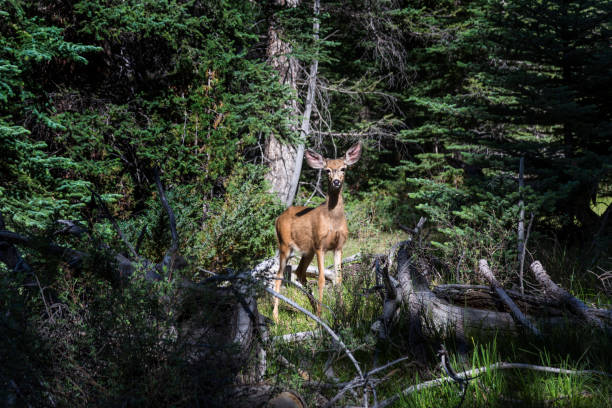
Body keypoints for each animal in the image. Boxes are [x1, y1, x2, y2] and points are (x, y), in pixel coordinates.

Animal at [270, 142, 360, 324]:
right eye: (327, 170)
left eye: (343, 168)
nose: (336, 182)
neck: (333, 219)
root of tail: (278, 218)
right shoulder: (320, 246)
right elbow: (321, 279)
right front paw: (321, 317)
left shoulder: (339, 246)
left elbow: (338, 279)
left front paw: (341, 313)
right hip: (284, 245)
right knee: (279, 275)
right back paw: (276, 317)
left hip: (307, 250)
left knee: (299, 272)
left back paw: (311, 309)